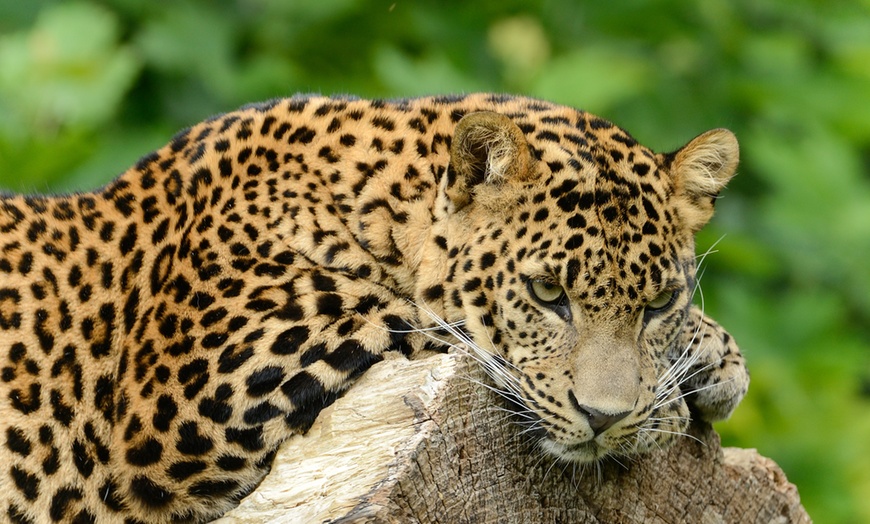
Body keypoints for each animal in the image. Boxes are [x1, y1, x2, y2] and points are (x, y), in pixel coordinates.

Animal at [0, 95, 748, 524]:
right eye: (545, 295)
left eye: (658, 302)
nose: (605, 419)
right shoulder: (187, 393)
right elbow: (418, 315)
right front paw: (682, 394)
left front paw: (704, 362)